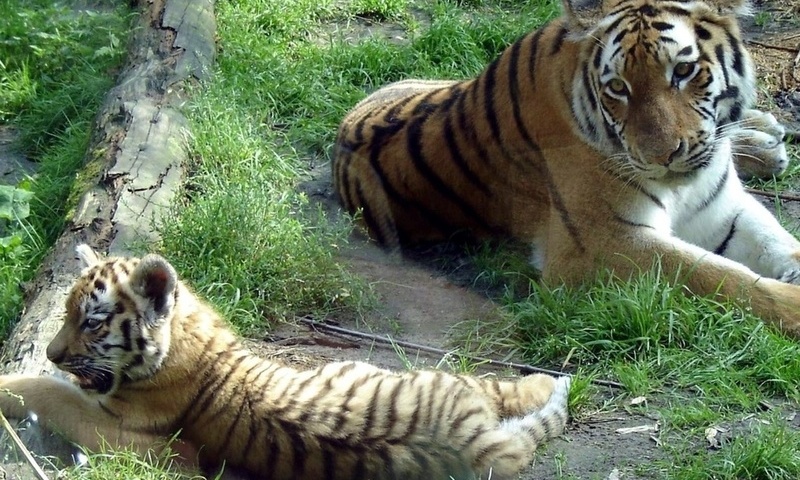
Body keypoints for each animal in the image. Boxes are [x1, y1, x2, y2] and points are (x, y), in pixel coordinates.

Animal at [332, 0, 800, 338]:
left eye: (684, 71)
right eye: (618, 88)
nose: (662, 156)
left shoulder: (722, 209)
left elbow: (776, 242)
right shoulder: (600, 243)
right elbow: (716, 276)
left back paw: (763, 136)